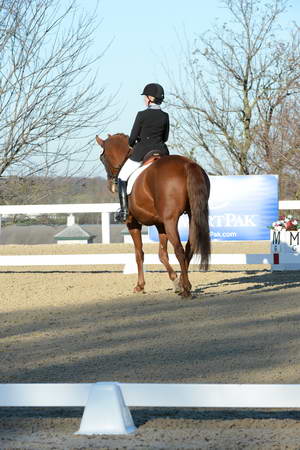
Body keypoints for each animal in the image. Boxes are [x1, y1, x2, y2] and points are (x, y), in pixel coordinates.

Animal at [96, 132, 211, 298]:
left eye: (102, 158)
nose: (111, 185)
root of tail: (187, 164)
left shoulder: (132, 223)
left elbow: (139, 254)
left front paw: (140, 286)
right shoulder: (160, 224)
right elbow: (162, 254)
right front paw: (175, 282)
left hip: (171, 220)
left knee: (179, 250)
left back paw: (186, 290)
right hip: (192, 216)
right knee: (189, 247)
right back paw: (185, 284)